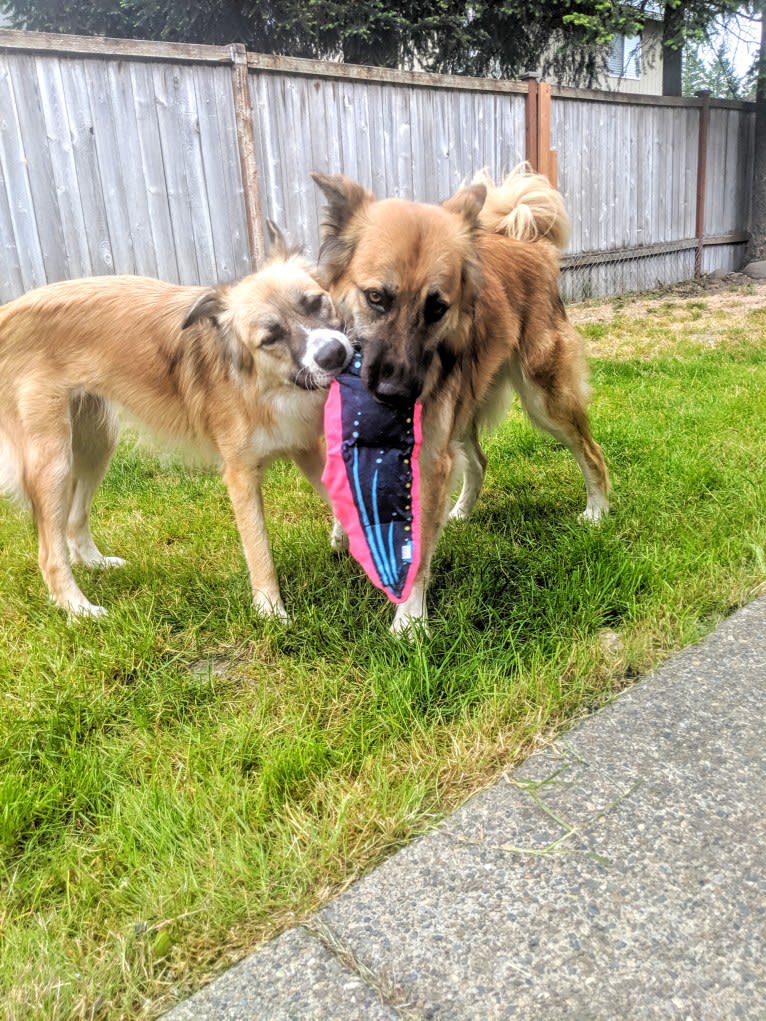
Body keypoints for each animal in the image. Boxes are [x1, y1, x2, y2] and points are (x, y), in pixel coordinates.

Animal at [0, 227, 353, 616]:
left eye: (315, 303)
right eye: (270, 337)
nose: (334, 354)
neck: (264, 385)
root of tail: (7, 312)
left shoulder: (303, 445)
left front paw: (344, 537)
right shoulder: (241, 476)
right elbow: (259, 550)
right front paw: (271, 611)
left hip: (96, 441)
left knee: (74, 520)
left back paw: (95, 562)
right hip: (54, 463)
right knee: (50, 553)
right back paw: (80, 610)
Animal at [312, 164, 612, 633]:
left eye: (437, 307)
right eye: (376, 297)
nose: (397, 393)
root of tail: (529, 244)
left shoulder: (427, 460)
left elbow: (416, 547)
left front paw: (410, 623)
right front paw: (346, 537)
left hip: (544, 400)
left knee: (591, 451)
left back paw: (597, 512)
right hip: (463, 409)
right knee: (480, 461)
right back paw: (462, 513)